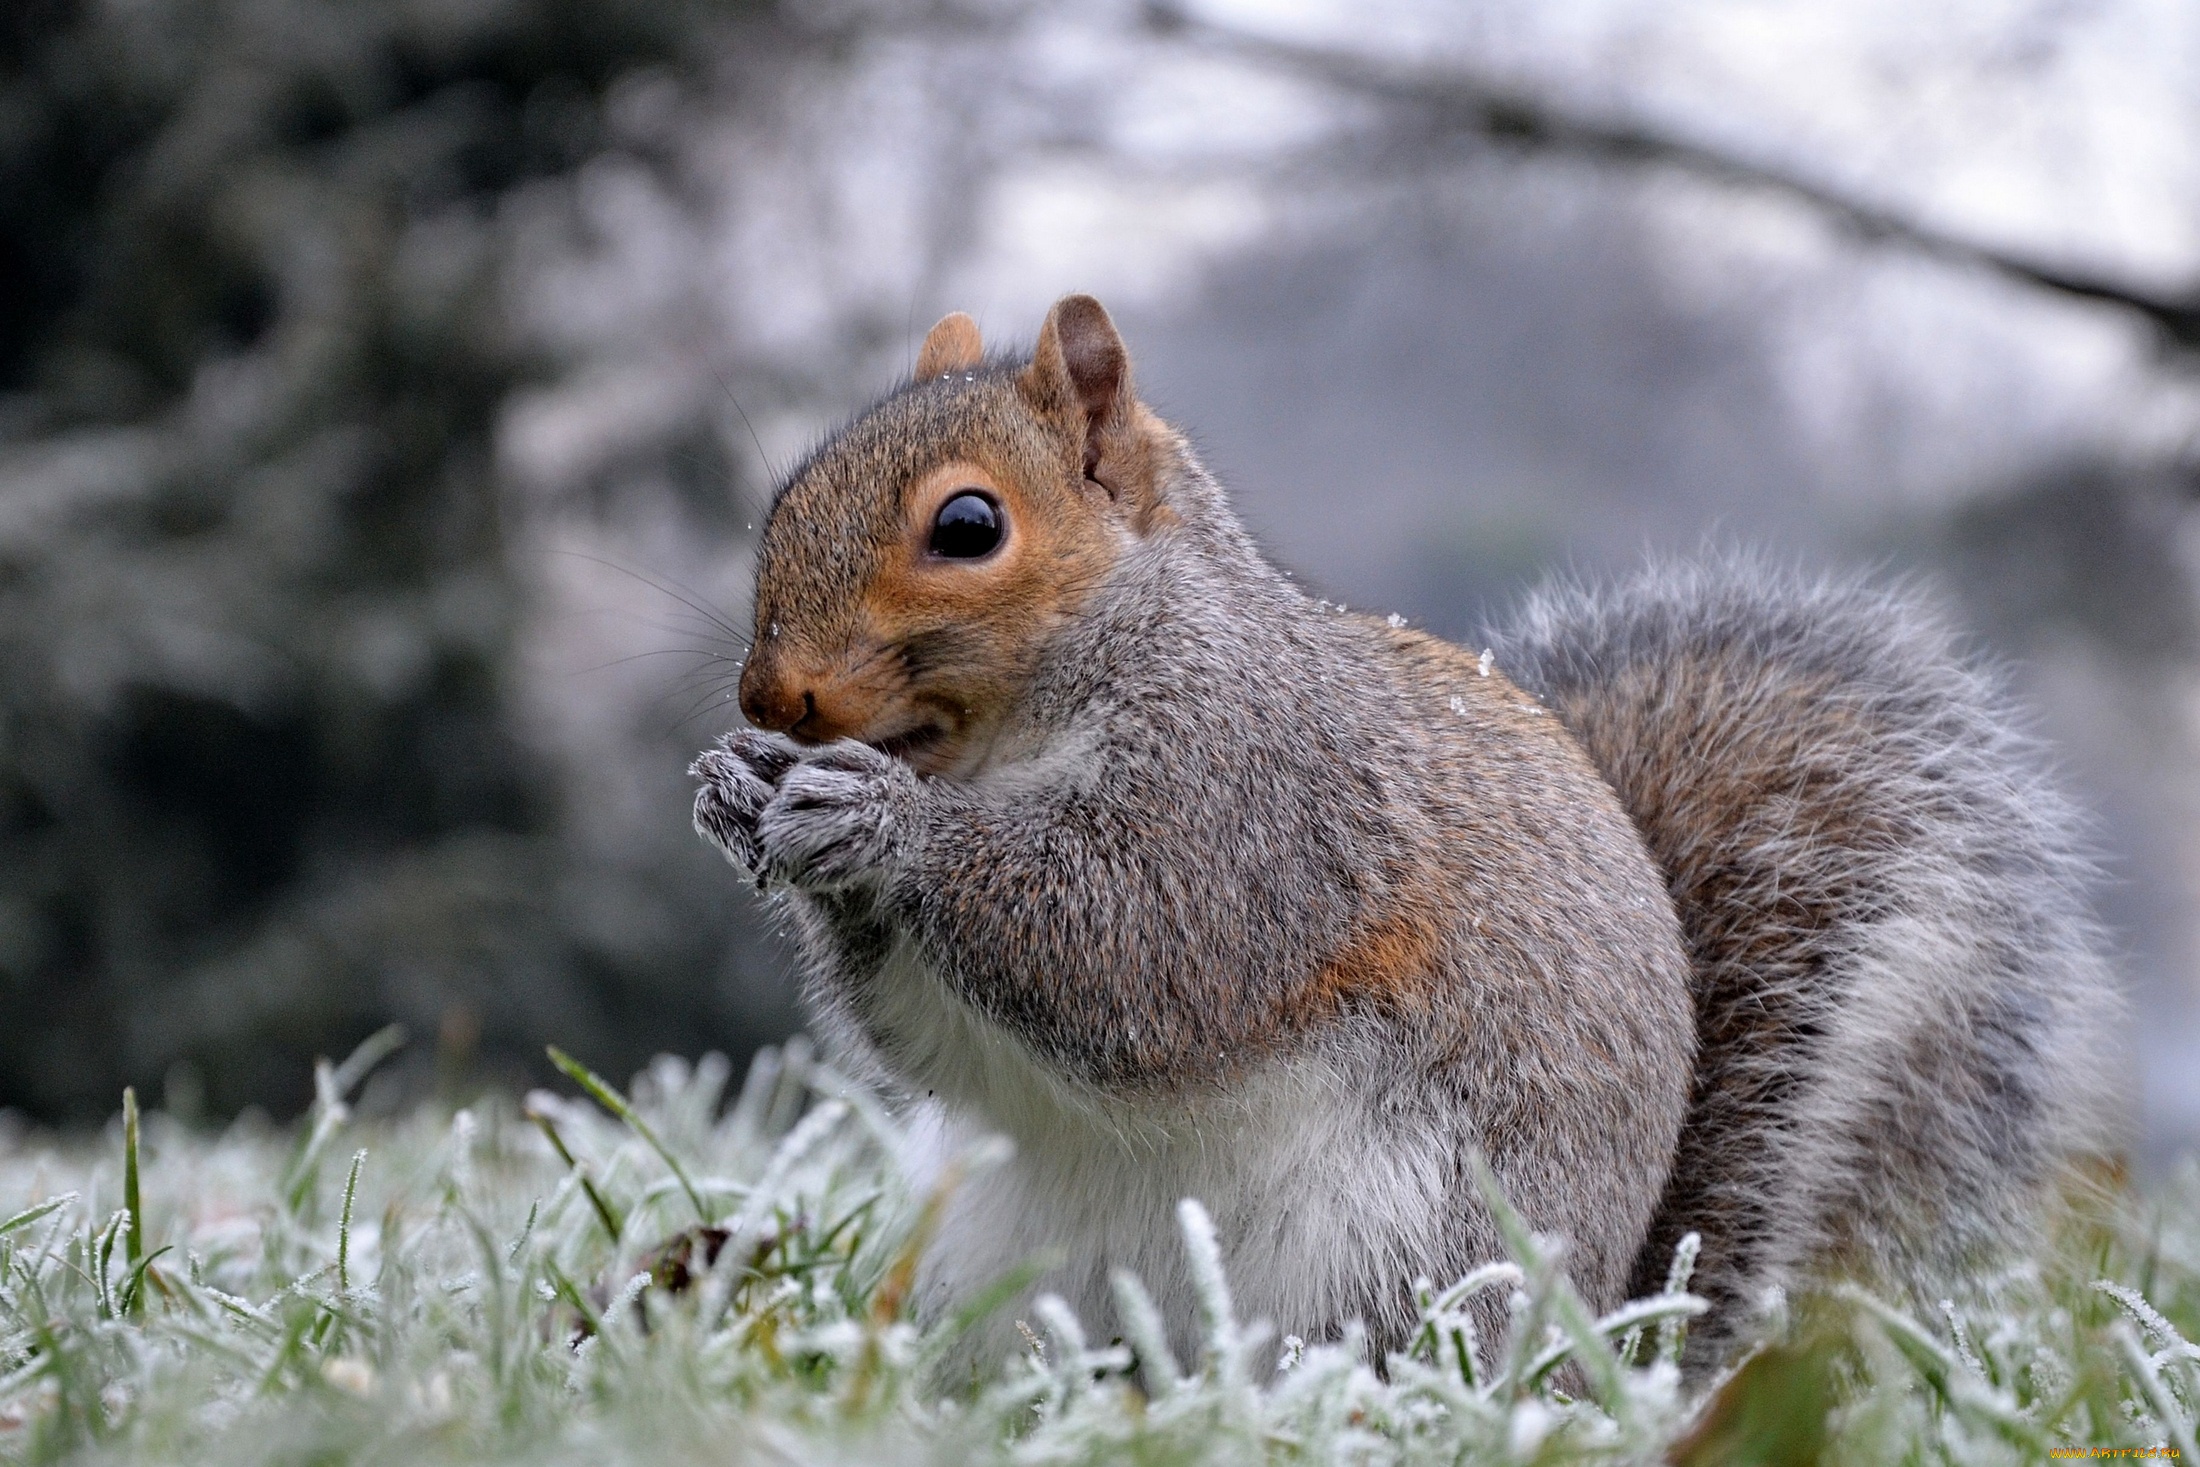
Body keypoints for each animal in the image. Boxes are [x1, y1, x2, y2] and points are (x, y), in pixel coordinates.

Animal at [695, 292, 2120, 1372]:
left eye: (968, 526)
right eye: (786, 497)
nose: (771, 698)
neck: (1005, 745)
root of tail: (1595, 1351)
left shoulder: (1260, 802)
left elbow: (1133, 950)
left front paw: (877, 822)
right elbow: (932, 1040)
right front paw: (736, 786)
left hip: (1398, 1253)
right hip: (1001, 1259)